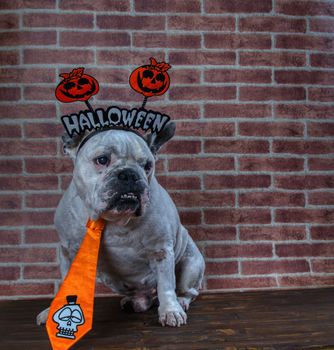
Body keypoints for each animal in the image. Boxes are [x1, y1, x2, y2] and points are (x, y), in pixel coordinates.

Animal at [37, 123, 206, 328]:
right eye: (102, 160)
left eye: (147, 166)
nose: (130, 174)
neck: (113, 219)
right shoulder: (68, 251)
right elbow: (66, 283)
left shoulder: (161, 250)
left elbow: (166, 284)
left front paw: (170, 311)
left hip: (191, 265)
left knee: (186, 290)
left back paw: (180, 301)